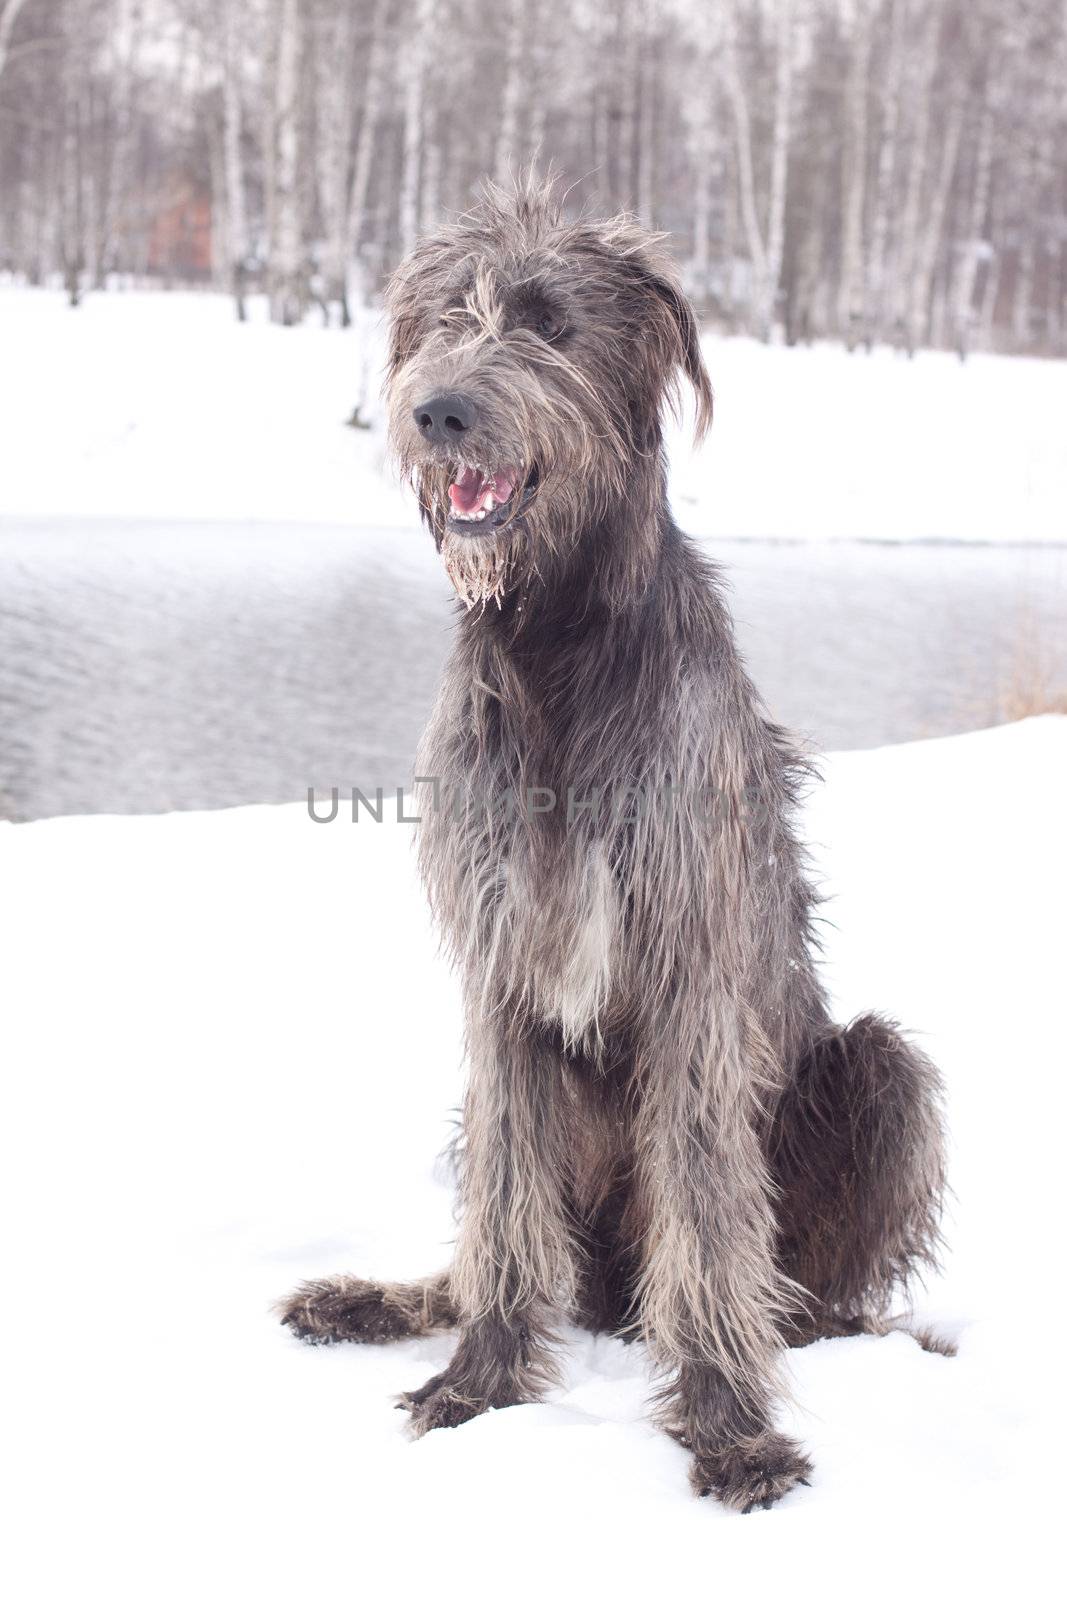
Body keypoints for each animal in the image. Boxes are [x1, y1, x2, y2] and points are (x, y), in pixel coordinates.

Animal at [279, 178, 947, 1510]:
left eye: (546, 325)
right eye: (448, 314)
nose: (437, 411)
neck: (551, 642)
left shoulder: (690, 977)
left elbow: (705, 1210)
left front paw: (728, 1421)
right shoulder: (496, 972)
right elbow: (502, 1203)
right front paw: (478, 1379)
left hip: (880, 1072)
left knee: (805, 1259)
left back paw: (817, 1325)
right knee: (496, 1232)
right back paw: (384, 1300)